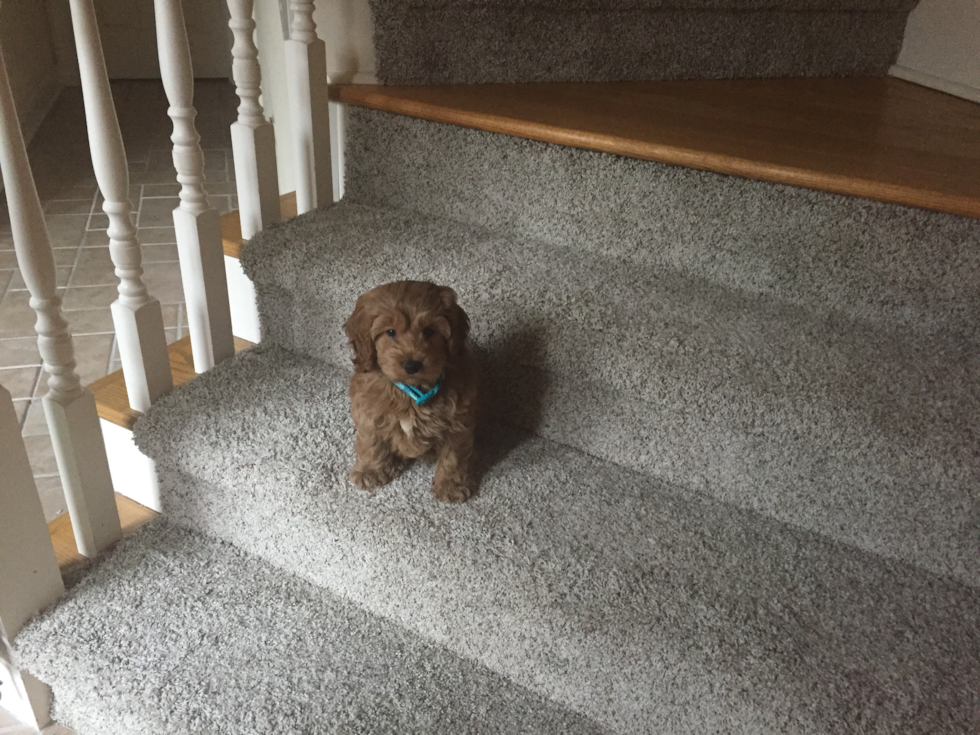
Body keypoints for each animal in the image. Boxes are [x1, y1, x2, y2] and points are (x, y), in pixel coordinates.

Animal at [344, 278, 478, 504]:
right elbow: (371, 441)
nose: (412, 365)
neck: (410, 391)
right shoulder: (368, 410)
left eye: (429, 331)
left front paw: (450, 486)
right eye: (390, 332)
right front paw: (370, 470)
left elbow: (454, 456)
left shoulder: (458, 420)